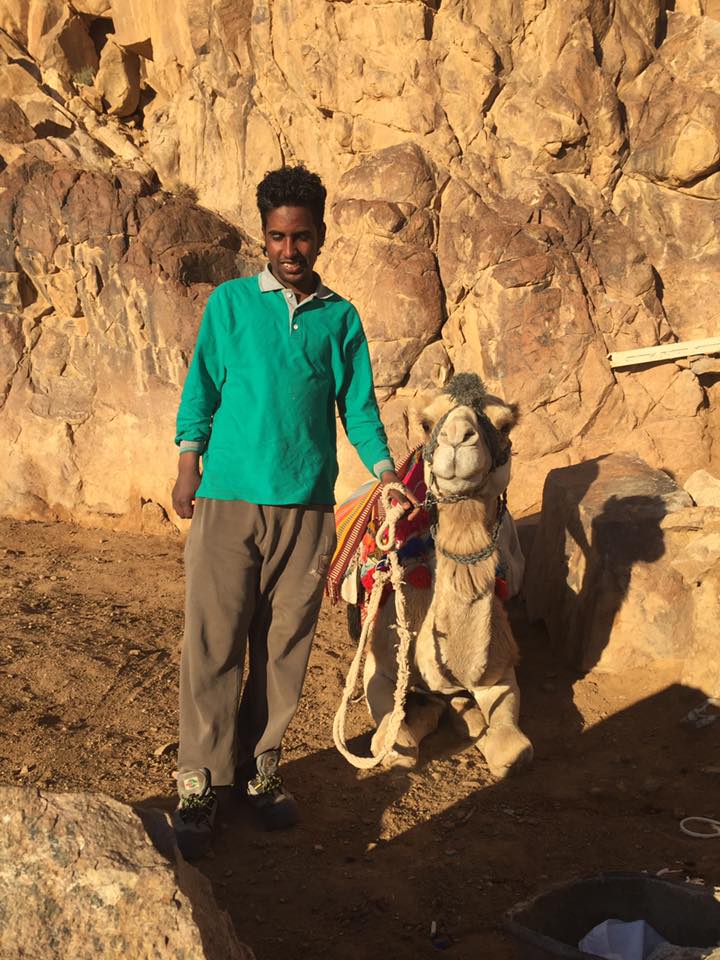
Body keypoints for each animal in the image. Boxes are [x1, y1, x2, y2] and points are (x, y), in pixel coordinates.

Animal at [362, 373, 533, 778]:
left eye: (504, 425)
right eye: (426, 423)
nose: (457, 437)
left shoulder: (500, 671)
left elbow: (514, 750)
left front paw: (470, 718)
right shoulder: (378, 670)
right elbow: (395, 745)